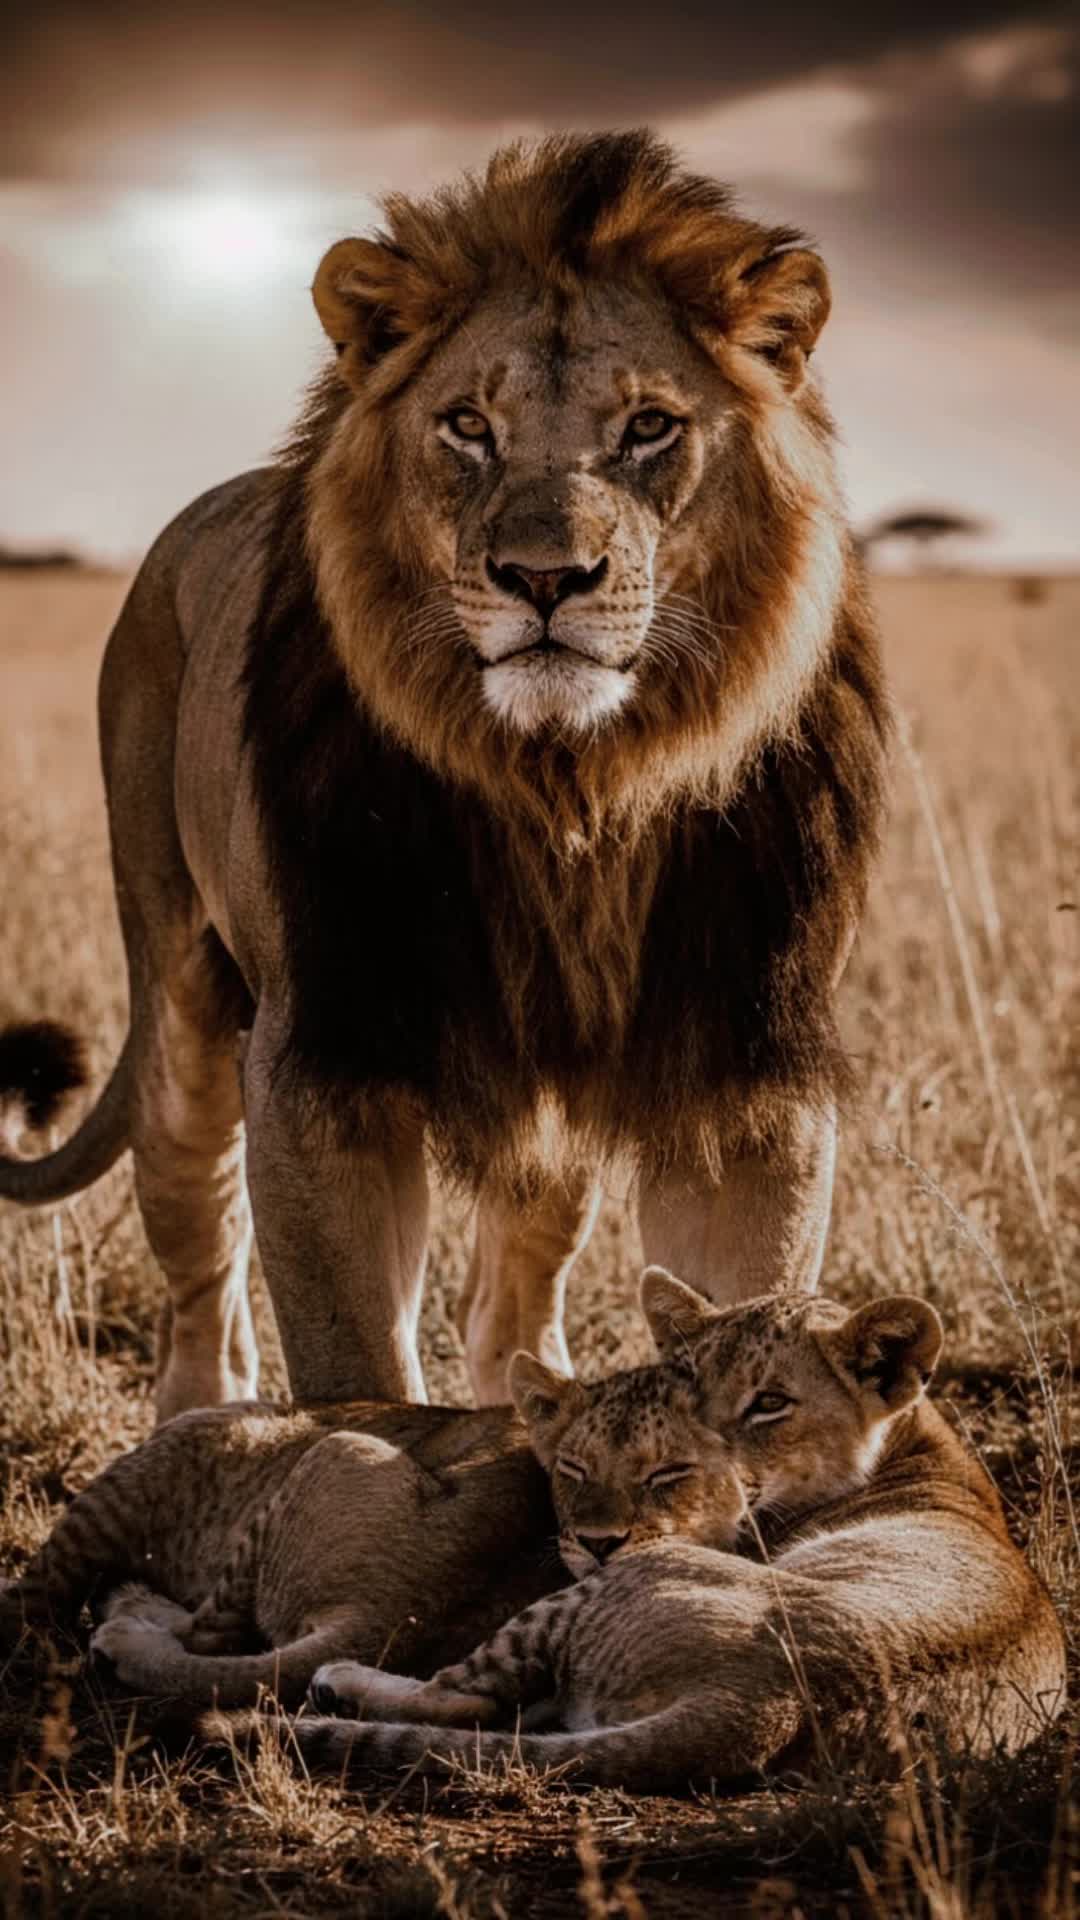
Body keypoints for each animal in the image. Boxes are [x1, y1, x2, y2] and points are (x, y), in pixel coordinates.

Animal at [0, 131, 887, 1418]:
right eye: (468, 425)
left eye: (649, 429)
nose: (545, 578)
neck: (570, 789)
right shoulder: (326, 1059)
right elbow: (356, 1366)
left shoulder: (742, 1069)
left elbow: (750, 1311)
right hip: (179, 992)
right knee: (198, 1233)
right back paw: (204, 1413)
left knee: (514, 1275)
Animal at [247, 1276, 1067, 1792]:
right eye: (683, 1381)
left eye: (770, 1403)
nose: (692, 1459)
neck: (917, 1446)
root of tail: (766, 1700)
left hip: (619, 1583)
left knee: (463, 1700)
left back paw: (340, 1681)